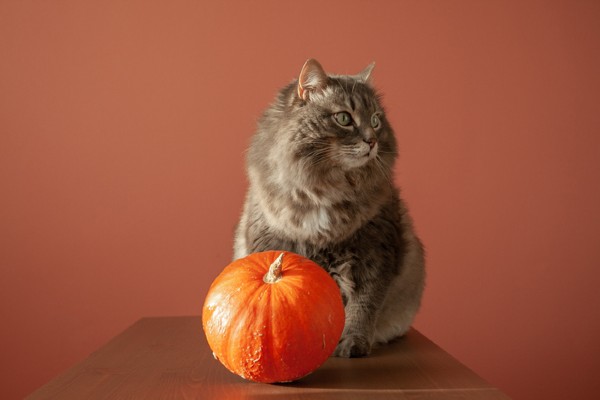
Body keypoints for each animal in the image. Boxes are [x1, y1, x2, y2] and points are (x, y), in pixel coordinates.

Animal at [234, 58, 426, 356]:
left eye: (376, 120)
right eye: (344, 118)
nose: (372, 141)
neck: (325, 191)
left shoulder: (376, 253)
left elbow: (363, 307)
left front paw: (352, 344)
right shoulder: (270, 240)